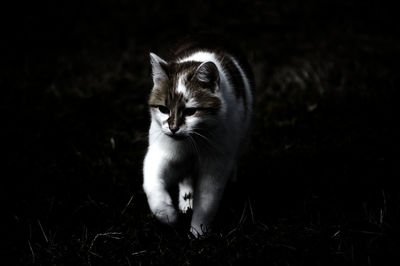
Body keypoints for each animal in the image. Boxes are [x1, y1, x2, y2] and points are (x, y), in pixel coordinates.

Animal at [142, 34, 253, 236]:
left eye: (190, 111)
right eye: (163, 109)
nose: (173, 128)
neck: (191, 142)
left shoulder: (215, 165)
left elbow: (207, 204)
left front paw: (198, 234)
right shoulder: (160, 152)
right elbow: (152, 184)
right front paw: (168, 215)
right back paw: (185, 202)